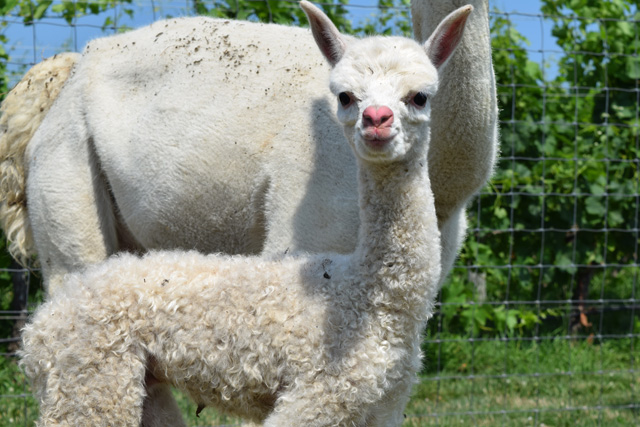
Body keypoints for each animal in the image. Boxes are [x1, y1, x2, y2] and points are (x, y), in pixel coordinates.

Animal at [19, 2, 471, 425]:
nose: (376, 120)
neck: (366, 297)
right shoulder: (315, 396)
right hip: (89, 371)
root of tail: (37, 332)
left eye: (420, 95)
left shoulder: (383, 408)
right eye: (344, 96)